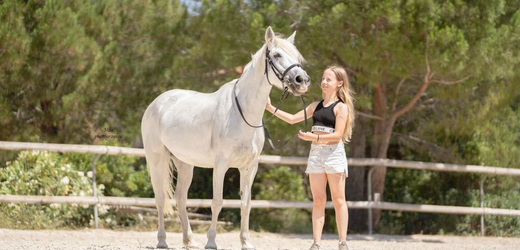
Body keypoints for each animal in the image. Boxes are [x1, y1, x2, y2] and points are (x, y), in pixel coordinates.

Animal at [141, 26, 308, 249]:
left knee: (180, 198)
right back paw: (162, 240)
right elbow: (217, 202)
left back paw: (189, 240)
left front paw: (246, 242)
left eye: (297, 57)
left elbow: (246, 204)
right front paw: (211, 241)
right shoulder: (221, 165)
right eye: (276, 55)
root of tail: (157, 102)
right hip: (156, 159)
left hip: (185, 163)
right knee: (160, 198)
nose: (302, 80)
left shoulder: (249, 167)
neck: (243, 114)